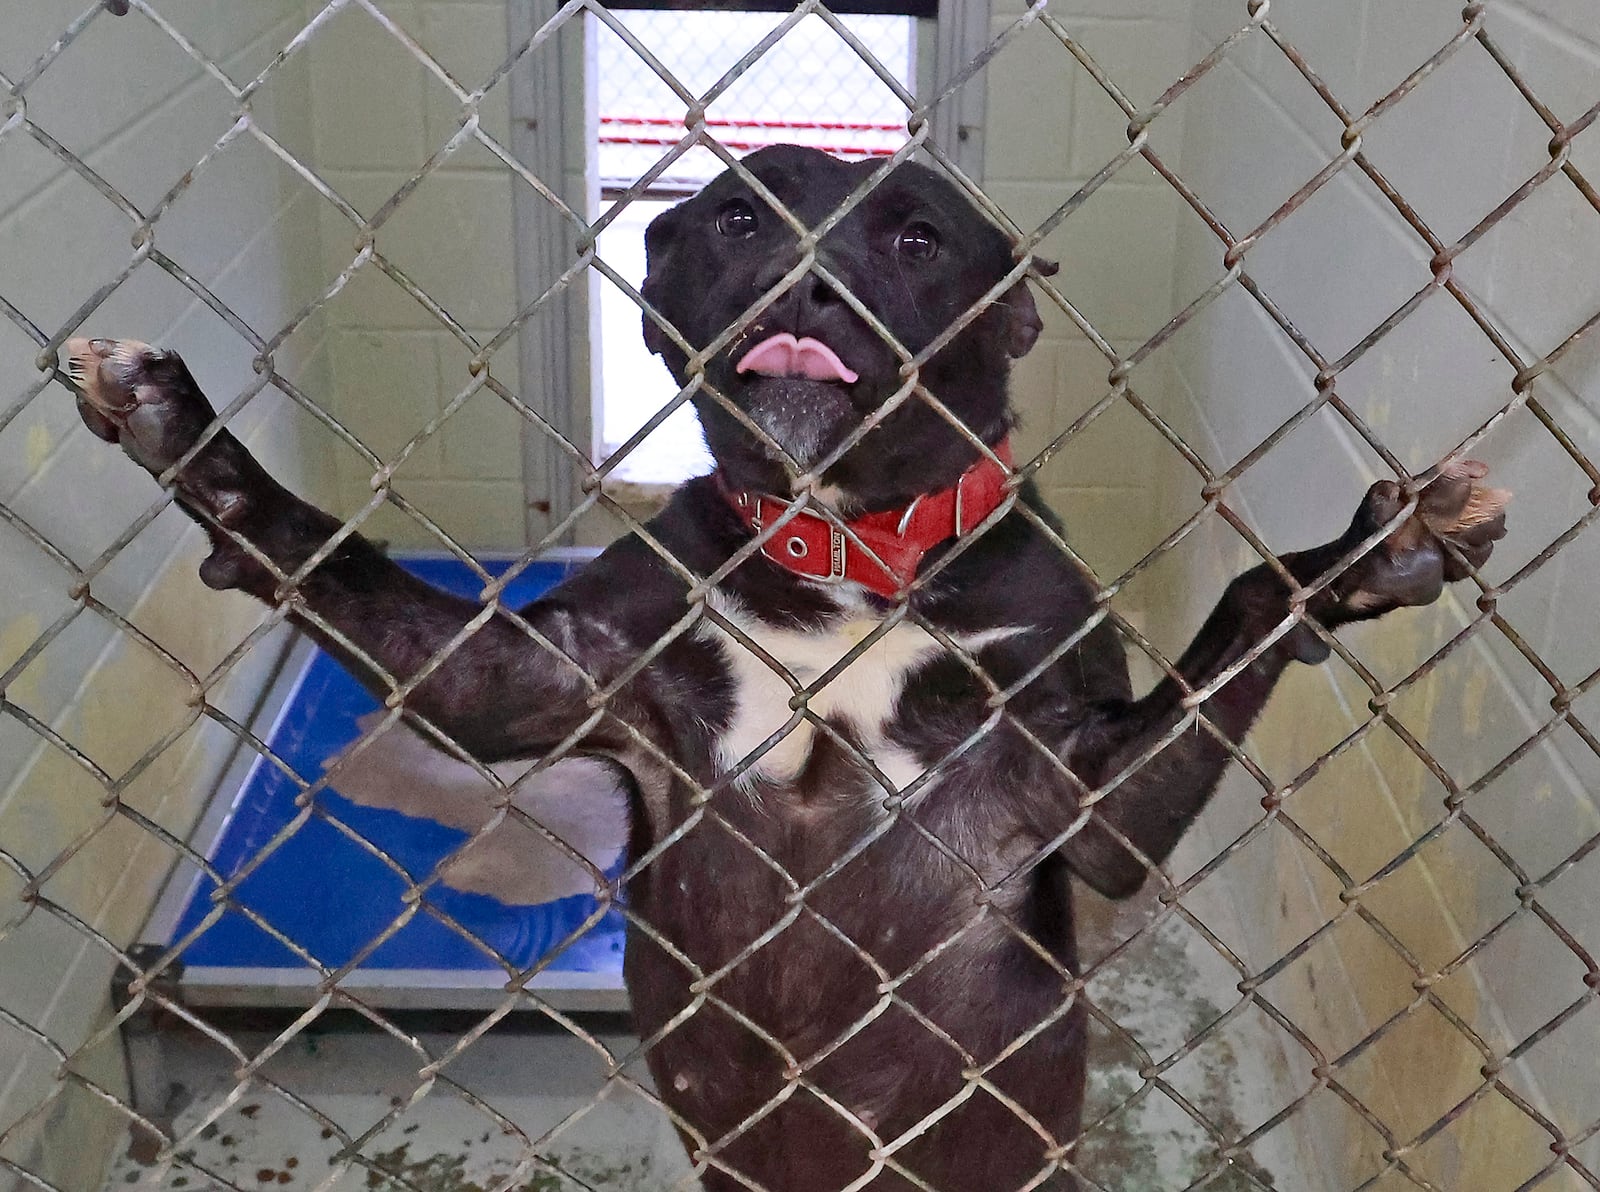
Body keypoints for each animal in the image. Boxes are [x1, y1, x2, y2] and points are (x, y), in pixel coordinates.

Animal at [68, 144, 1504, 1184]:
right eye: (737, 219)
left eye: (918, 236)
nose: (810, 274)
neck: (843, 550)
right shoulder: (531, 678)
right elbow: (341, 566)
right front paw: (194, 442)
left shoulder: (1089, 796)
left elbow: (1250, 606)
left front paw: (1361, 554)